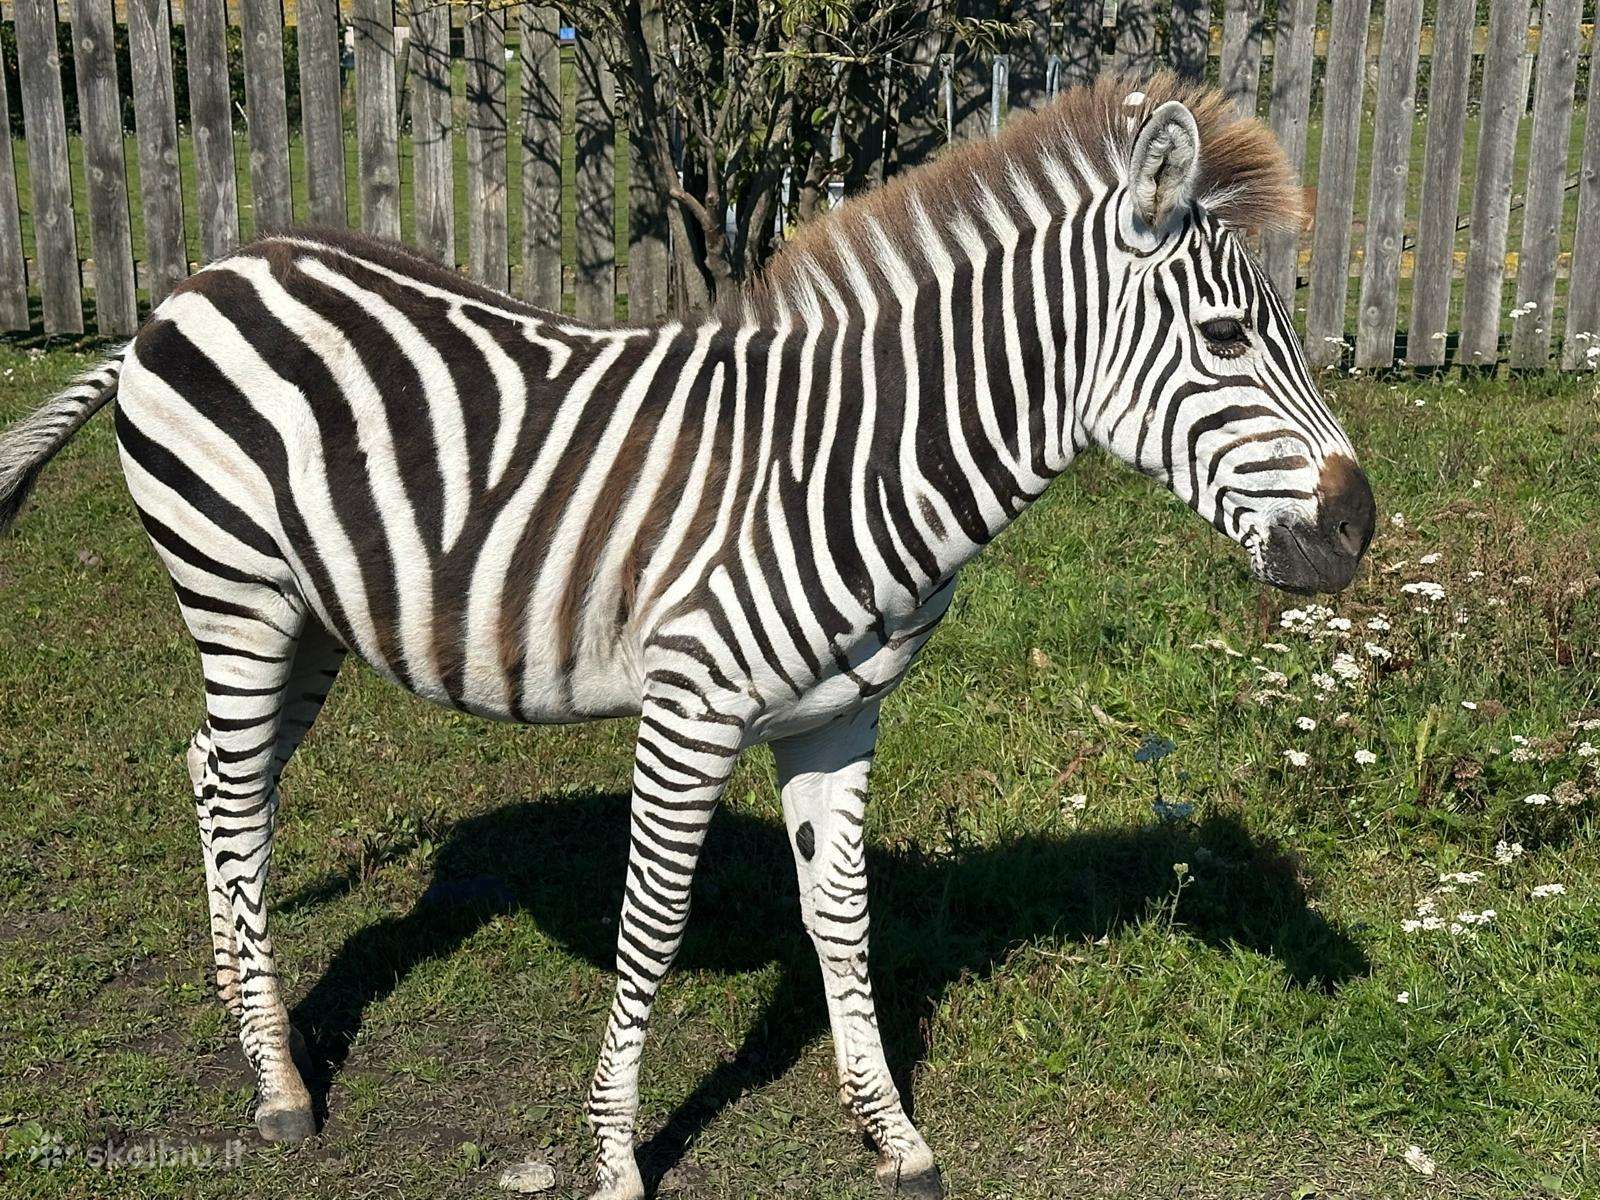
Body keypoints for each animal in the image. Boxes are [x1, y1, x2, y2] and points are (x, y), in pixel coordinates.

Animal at [0, 74, 1372, 1199]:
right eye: (1227, 339)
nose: (1357, 526)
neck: (846, 463)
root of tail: (197, 279)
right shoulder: (691, 712)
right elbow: (650, 928)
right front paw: (614, 1156)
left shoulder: (840, 718)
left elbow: (843, 920)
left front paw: (892, 1137)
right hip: (233, 590)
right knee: (236, 799)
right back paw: (280, 1087)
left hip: (308, 613)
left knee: (216, 775)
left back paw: (246, 1009)